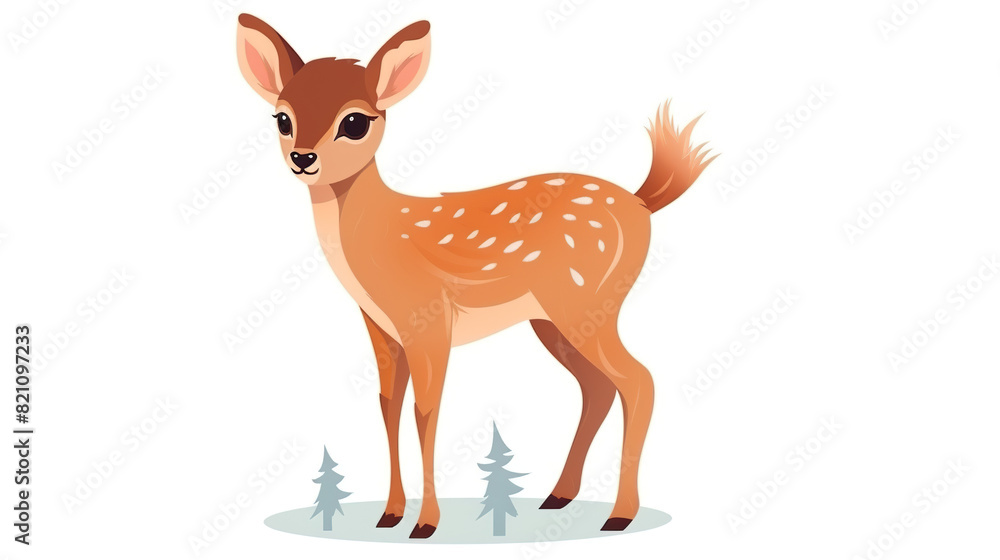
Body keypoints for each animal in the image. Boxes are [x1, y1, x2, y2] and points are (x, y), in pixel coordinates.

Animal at [236, 13, 714, 538]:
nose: (303, 158)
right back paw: (558, 496)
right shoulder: (380, 327)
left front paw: (425, 524)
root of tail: (642, 203)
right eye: (282, 118)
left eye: (356, 122)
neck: (379, 237)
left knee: (639, 380)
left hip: (586, 299)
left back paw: (620, 514)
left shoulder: (428, 318)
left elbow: (426, 411)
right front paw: (389, 515)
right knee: (598, 388)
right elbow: (387, 406)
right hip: (555, 318)